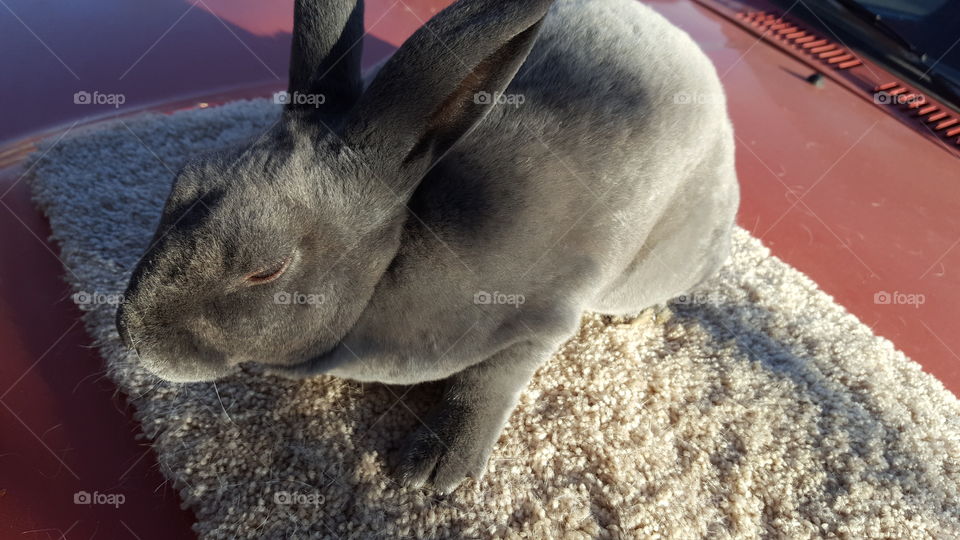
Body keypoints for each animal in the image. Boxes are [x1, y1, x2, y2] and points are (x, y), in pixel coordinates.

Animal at [116, 0, 740, 494]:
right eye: (184, 178)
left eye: (267, 270)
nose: (131, 334)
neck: (392, 260)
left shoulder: (542, 320)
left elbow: (490, 381)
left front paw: (438, 466)